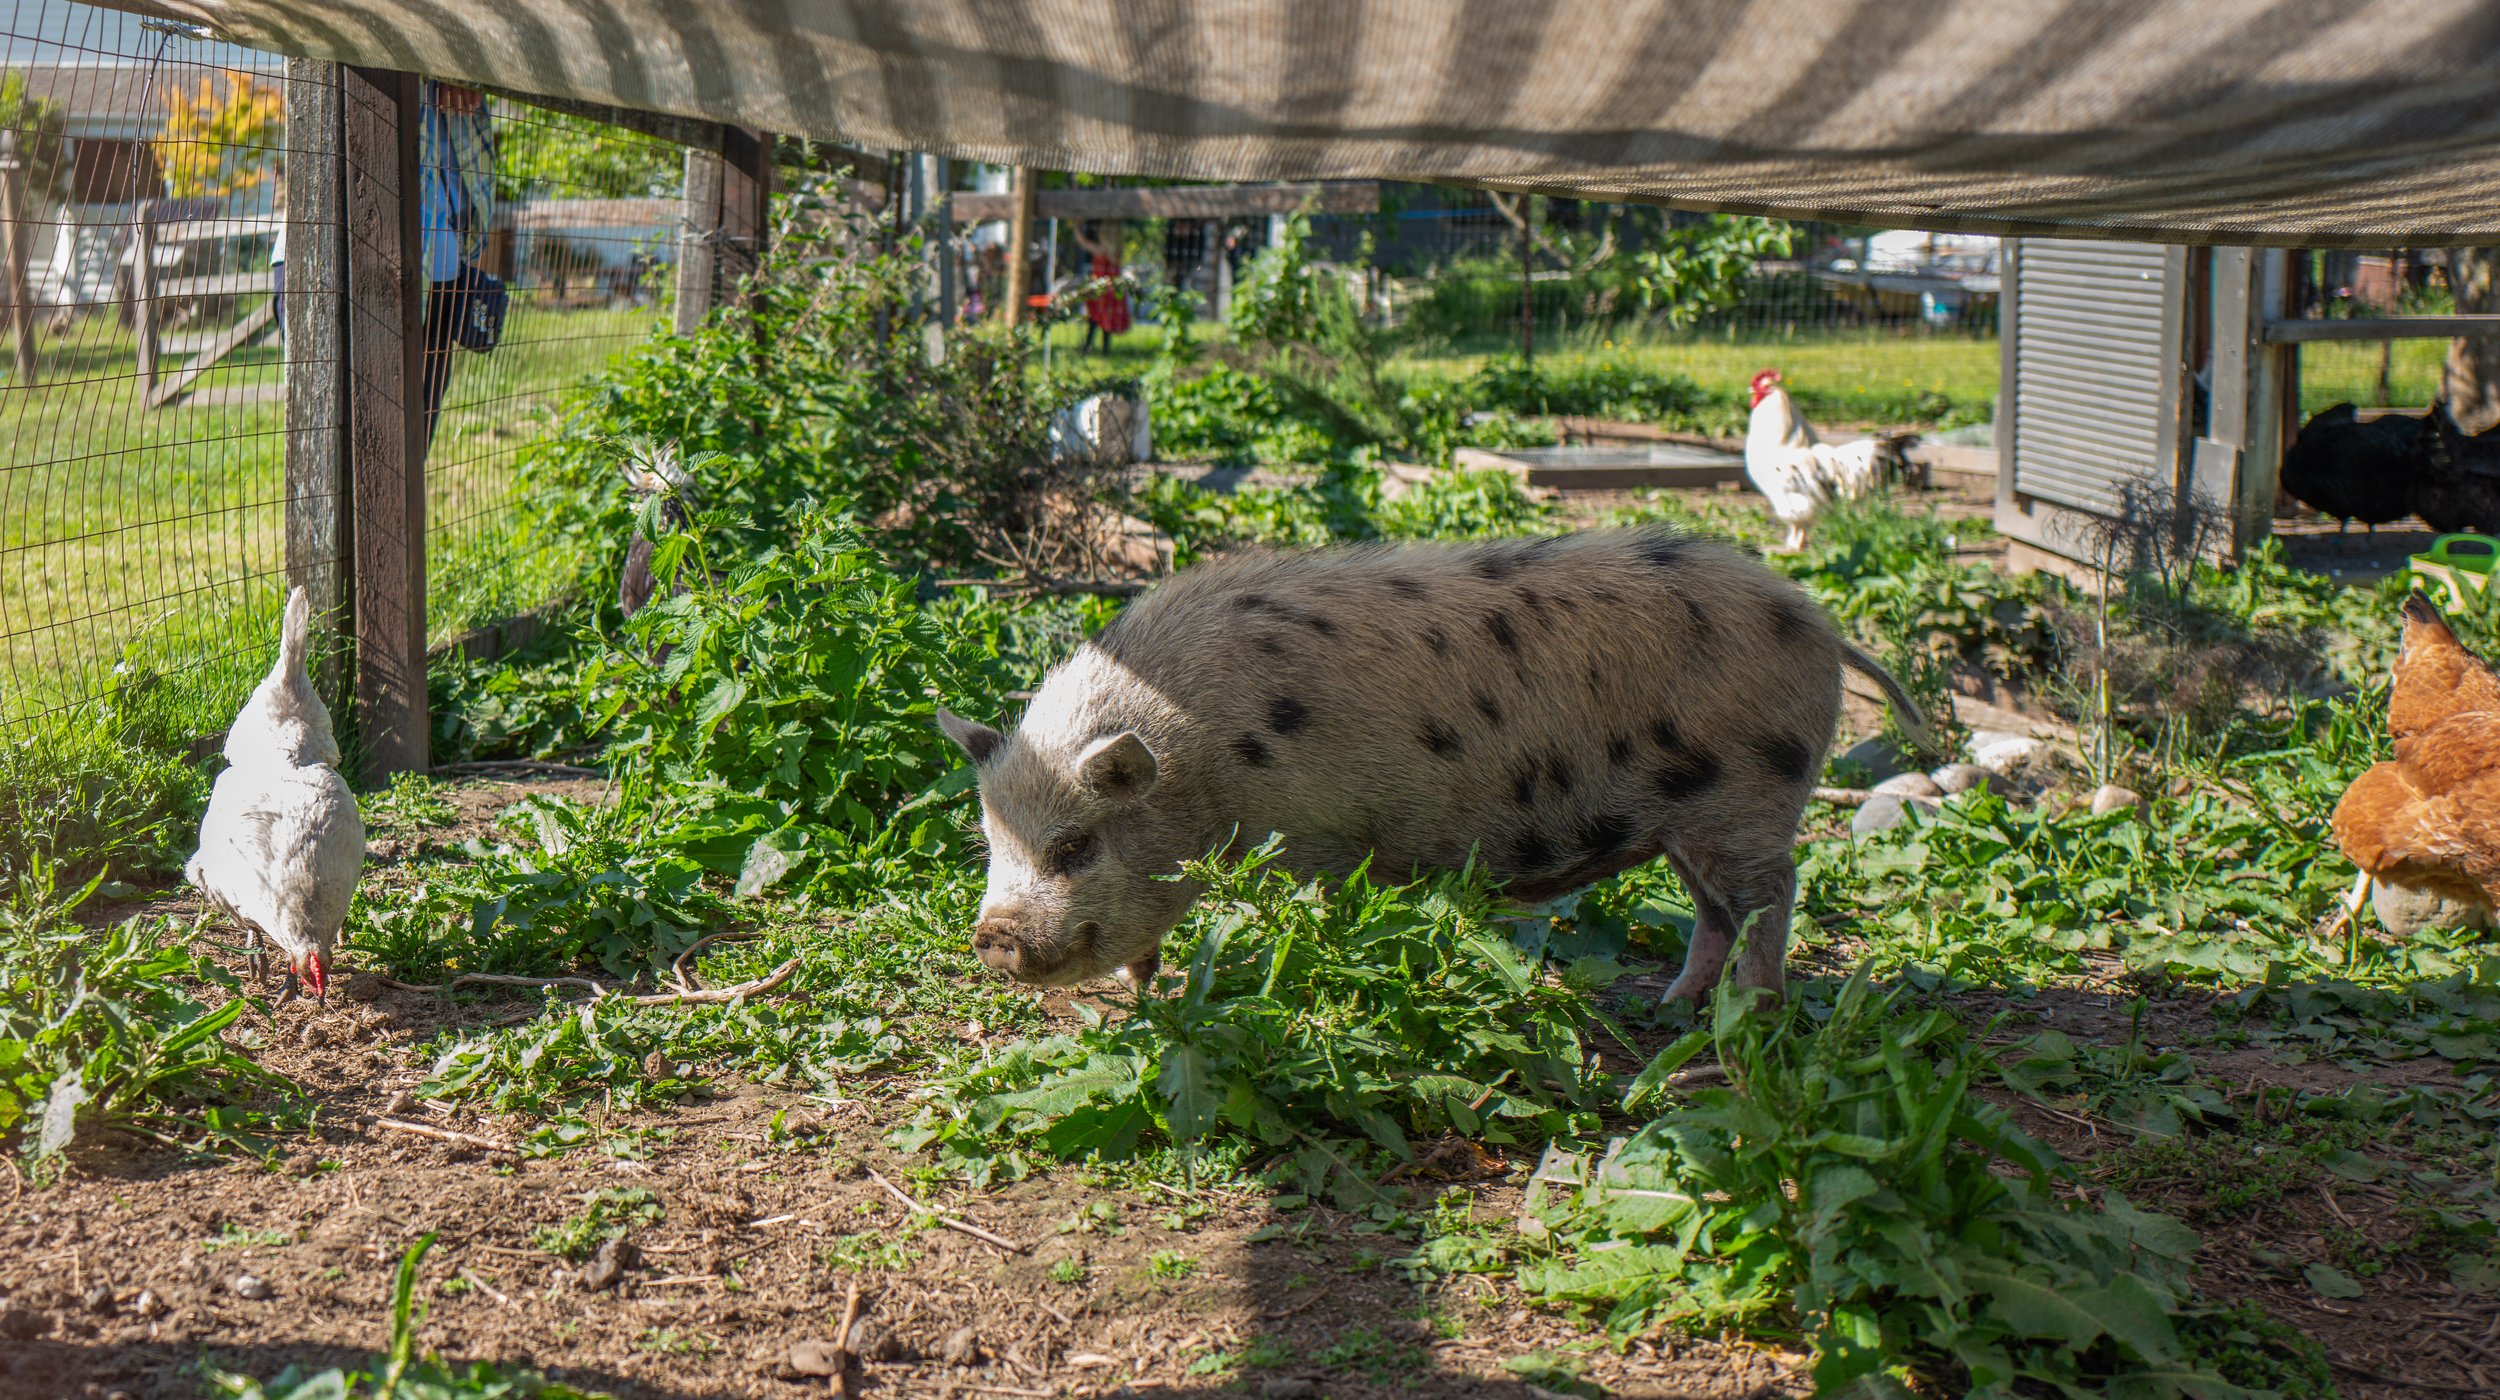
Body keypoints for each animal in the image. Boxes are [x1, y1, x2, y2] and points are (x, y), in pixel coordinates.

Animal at [936, 526, 1934, 1003]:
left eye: (1075, 846)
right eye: (991, 845)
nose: (992, 937)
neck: (1201, 755)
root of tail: (1823, 627)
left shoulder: (1321, 838)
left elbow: (1308, 909)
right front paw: (1139, 994)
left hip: (1751, 797)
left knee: (1774, 898)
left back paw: (1737, 1034)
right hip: (1687, 821)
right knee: (1716, 913)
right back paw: (1672, 1008)